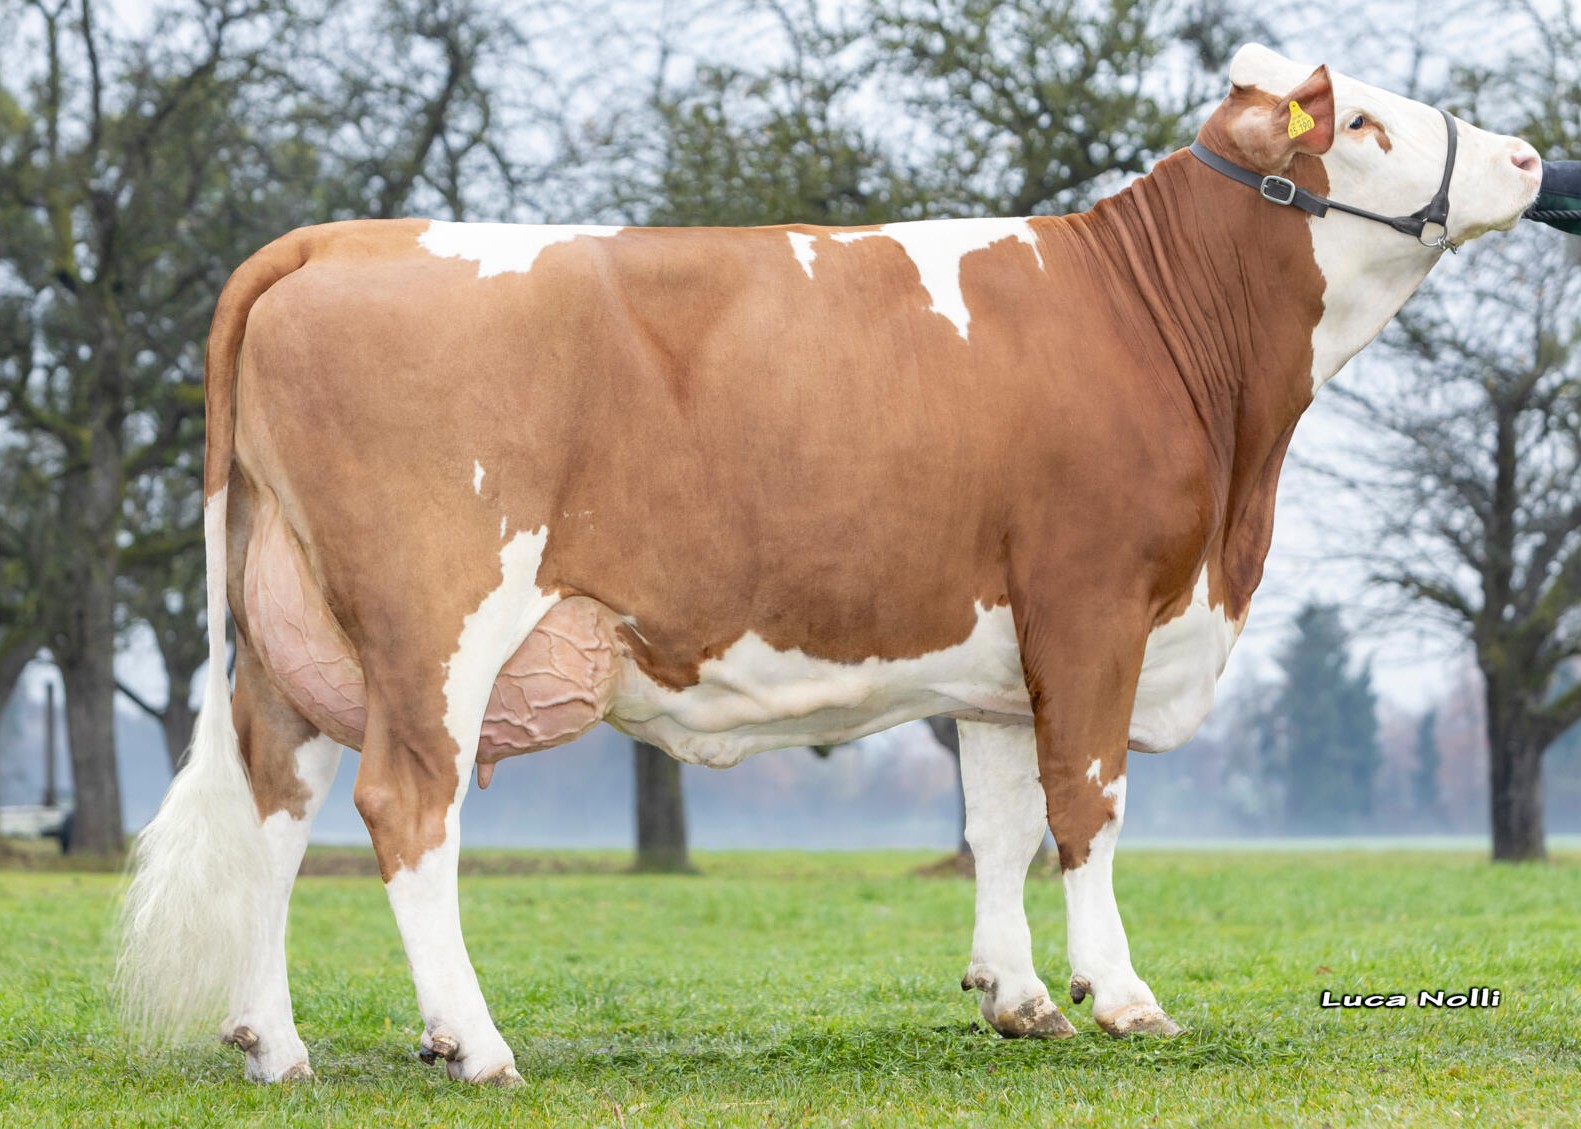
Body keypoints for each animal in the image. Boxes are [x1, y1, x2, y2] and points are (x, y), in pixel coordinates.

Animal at [116, 44, 1542, 1085]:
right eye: (1365, 123)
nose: (1529, 155)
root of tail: (336, 238)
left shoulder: (1005, 644)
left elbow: (999, 818)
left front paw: (1021, 995)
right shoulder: (1093, 603)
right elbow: (1086, 807)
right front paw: (1125, 997)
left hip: (295, 635)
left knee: (277, 806)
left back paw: (275, 1043)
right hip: (435, 619)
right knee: (407, 810)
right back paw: (475, 1044)